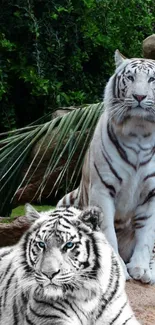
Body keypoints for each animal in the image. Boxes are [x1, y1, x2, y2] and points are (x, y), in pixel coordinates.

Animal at [57, 49, 155, 282]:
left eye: (152, 79)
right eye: (130, 78)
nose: (139, 97)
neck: (140, 132)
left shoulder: (152, 194)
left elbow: (147, 235)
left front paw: (142, 269)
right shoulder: (102, 189)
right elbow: (108, 232)